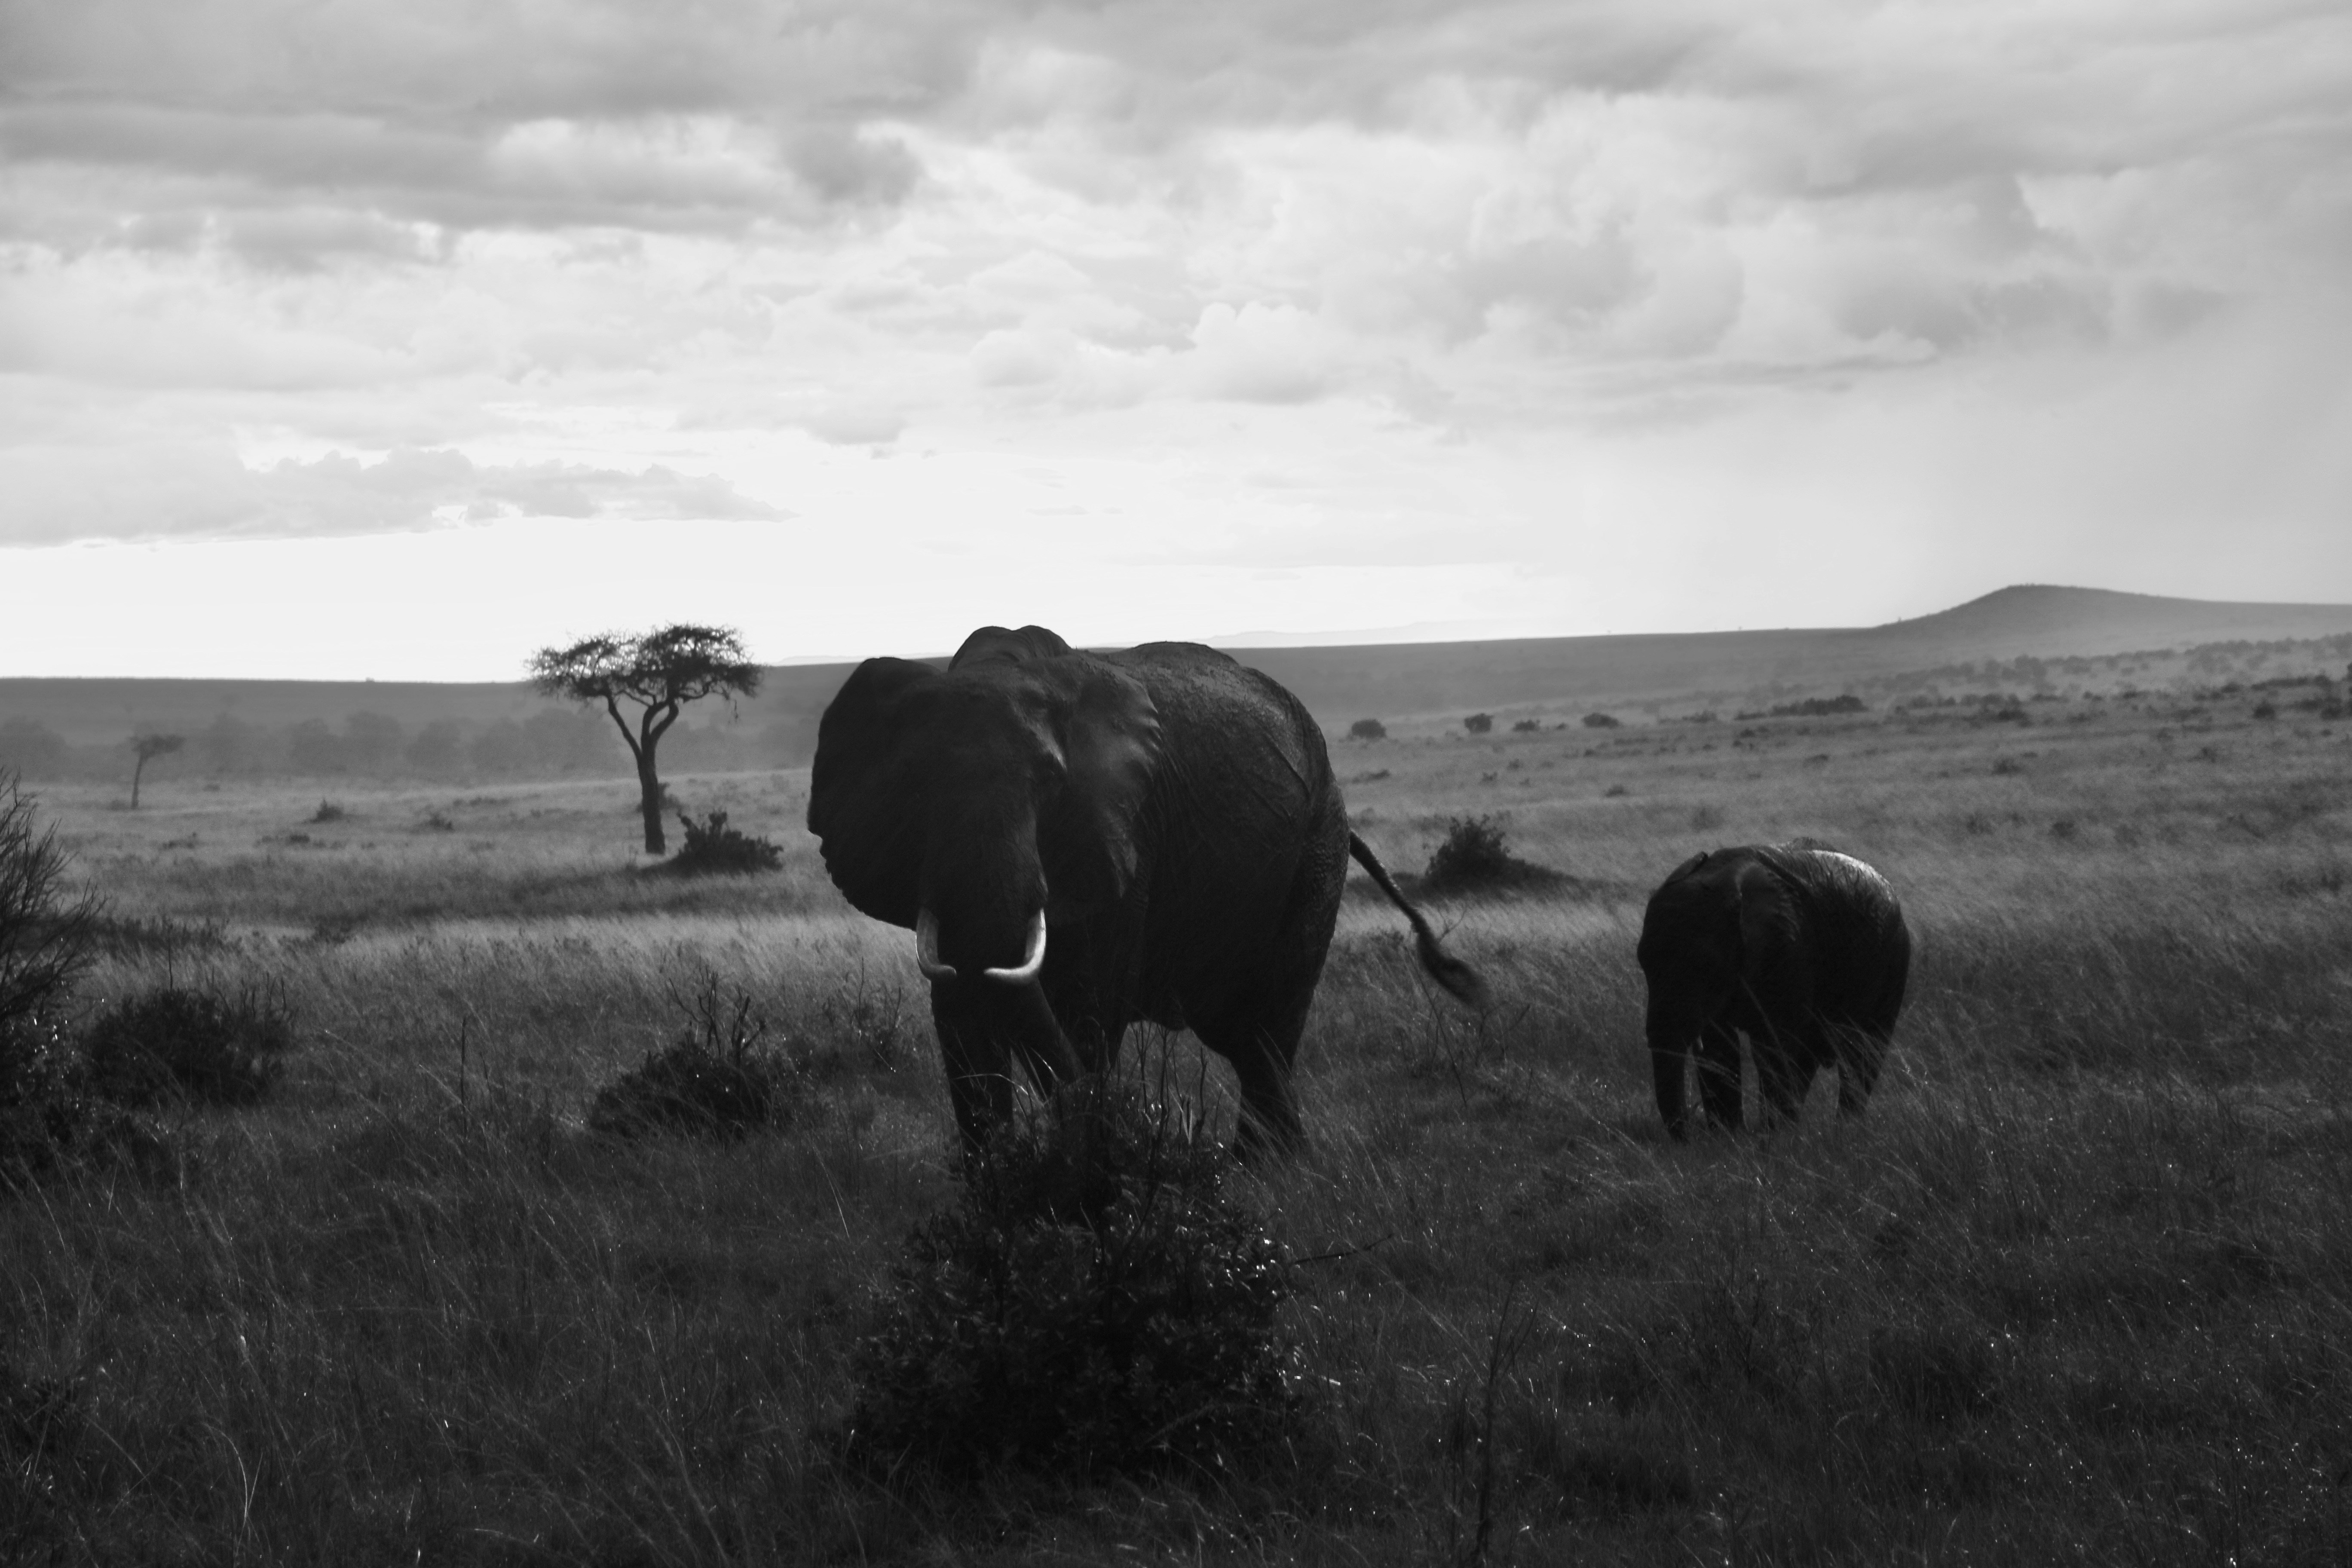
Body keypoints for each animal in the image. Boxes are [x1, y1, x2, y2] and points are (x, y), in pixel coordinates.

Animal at [807, 624, 1486, 1158]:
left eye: (1050, 780)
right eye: (916, 783)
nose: (1147, 1121)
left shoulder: (1128, 832)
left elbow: (1085, 1012)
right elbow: (963, 1023)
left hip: (1318, 846)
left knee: (1267, 1029)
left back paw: (1268, 1172)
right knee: (1245, 1036)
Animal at [1636, 840, 1910, 1140]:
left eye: (1704, 965)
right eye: (1642, 962)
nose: (1691, 1137)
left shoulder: (1788, 949)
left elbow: (1771, 1046)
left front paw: (1769, 1140)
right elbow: (1719, 1047)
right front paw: (1730, 1138)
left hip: (1894, 961)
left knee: (1862, 1053)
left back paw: (1843, 1131)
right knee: (1810, 1056)